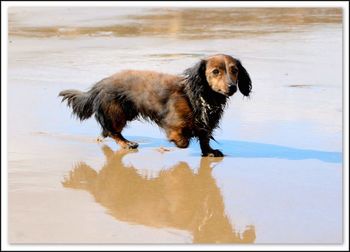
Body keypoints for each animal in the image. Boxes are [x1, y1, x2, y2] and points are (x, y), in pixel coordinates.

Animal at [59, 54, 252, 156]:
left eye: (234, 70)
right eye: (215, 71)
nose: (232, 87)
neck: (202, 97)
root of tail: (98, 86)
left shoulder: (206, 125)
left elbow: (204, 139)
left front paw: (209, 151)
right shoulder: (173, 122)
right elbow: (182, 138)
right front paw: (179, 142)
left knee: (107, 131)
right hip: (118, 114)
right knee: (112, 132)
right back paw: (126, 144)